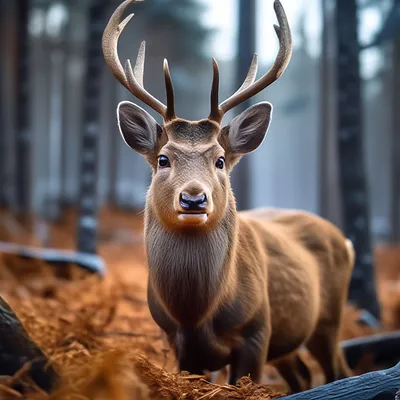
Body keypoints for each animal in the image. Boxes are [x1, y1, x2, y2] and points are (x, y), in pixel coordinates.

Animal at [101, 0, 354, 394]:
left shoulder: (257, 331)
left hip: (328, 320)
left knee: (338, 370)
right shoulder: (176, 342)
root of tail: (345, 240)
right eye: (163, 159)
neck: (196, 313)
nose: (193, 199)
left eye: (219, 160)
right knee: (302, 375)